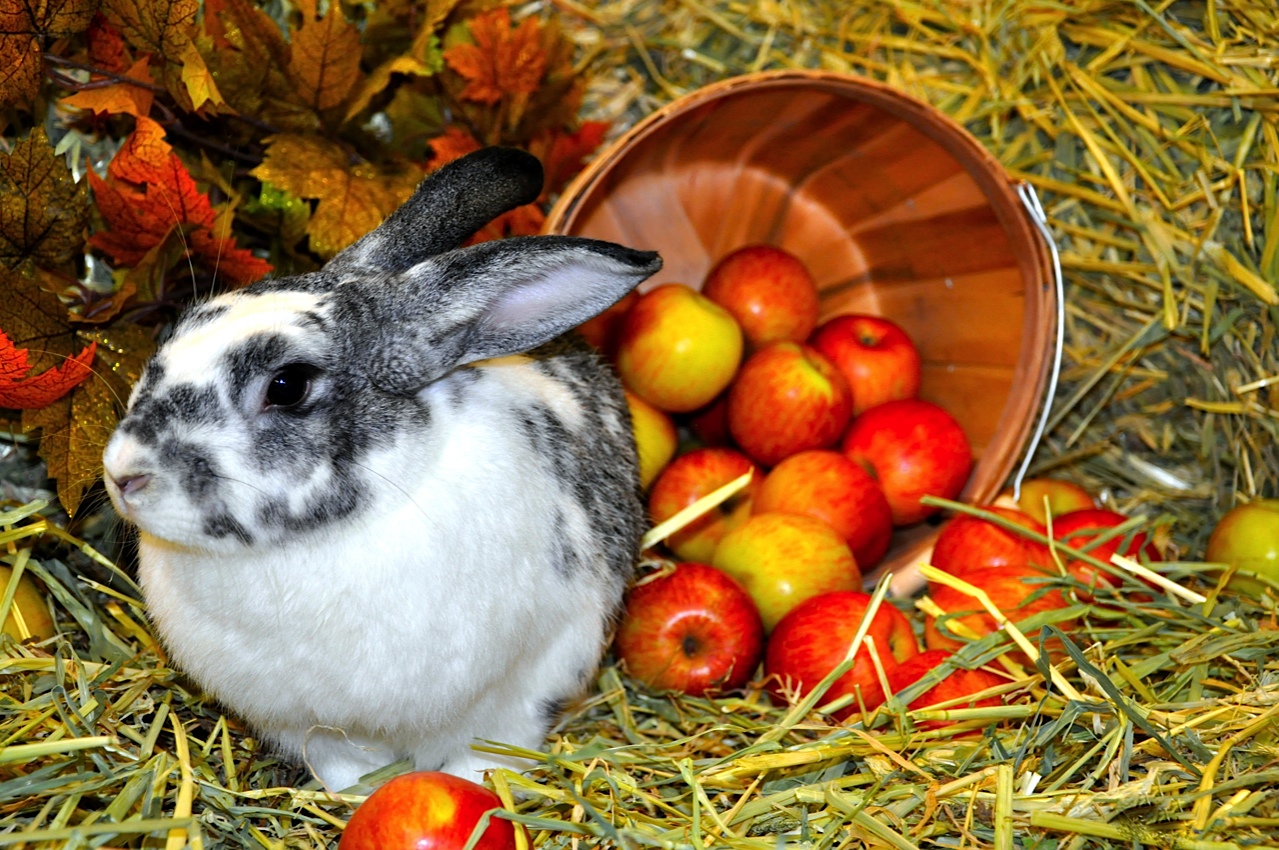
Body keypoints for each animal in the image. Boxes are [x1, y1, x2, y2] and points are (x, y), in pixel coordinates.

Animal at [101, 147, 662, 792]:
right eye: (175, 334)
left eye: (288, 385)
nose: (123, 474)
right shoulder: (306, 723)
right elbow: (342, 767)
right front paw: (356, 796)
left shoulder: (525, 682)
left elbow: (491, 753)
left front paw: (475, 786)